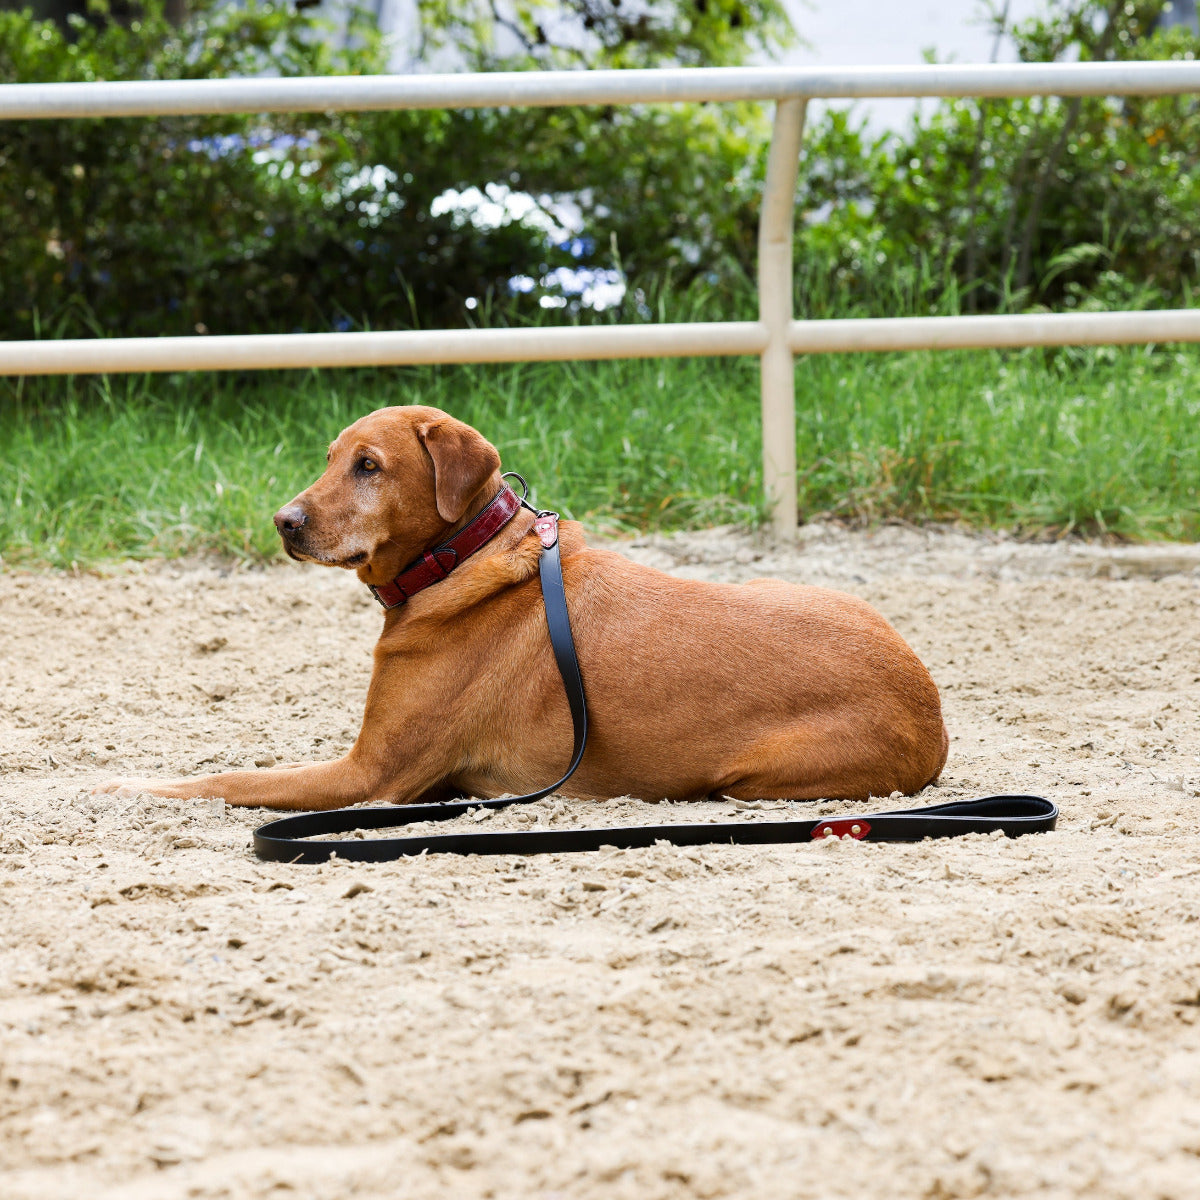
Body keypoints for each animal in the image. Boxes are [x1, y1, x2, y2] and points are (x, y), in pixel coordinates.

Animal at [96, 403, 945, 806]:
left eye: (369, 466)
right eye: (331, 458)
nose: (284, 522)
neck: (458, 557)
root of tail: (931, 710)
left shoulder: (368, 775)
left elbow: (226, 779)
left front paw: (119, 786)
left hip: (752, 776)